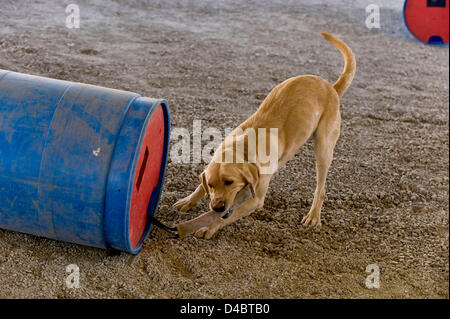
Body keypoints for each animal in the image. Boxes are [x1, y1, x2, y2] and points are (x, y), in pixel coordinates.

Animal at [172, 32, 356, 239]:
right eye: (210, 184)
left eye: (229, 182)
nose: (217, 207)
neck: (242, 148)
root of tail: (331, 87)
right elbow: (200, 187)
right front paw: (189, 199)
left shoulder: (255, 199)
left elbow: (227, 216)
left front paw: (208, 226)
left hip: (323, 148)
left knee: (321, 188)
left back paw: (314, 216)